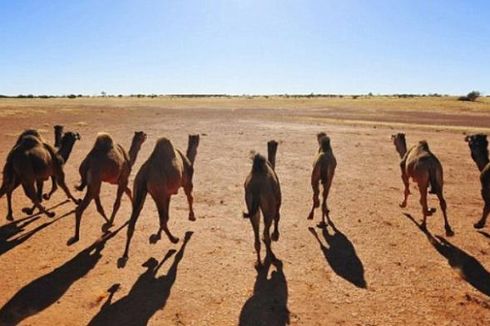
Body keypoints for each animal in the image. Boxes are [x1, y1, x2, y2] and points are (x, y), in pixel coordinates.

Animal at [118, 134, 199, 266]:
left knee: (135, 220)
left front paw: (156, 236)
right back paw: (174, 240)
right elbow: (190, 197)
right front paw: (192, 217)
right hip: (158, 191)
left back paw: (125, 255)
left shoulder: (167, 194)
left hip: (140, 189)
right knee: (162, 219)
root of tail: (145, 174)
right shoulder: (187, 182)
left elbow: (167, 215)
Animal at [243, 140, 282, 268]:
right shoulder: (278, 199)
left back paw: (259, 263)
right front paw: (275, 235)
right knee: (265, 231)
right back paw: (271, 258)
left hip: (251, 205)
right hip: (268, 207)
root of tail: (256, 188)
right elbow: (278, 216)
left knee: (256, 233)